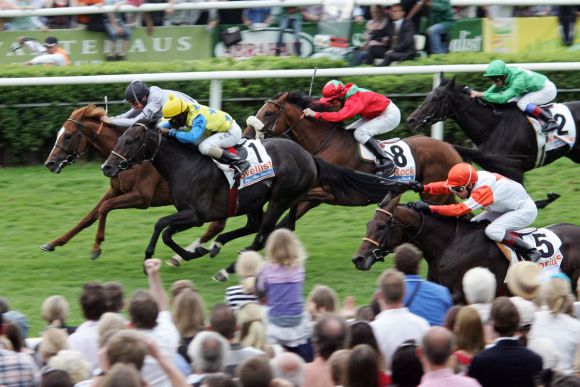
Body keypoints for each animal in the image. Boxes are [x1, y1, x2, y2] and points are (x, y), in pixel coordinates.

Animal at [43, 104, 212, 260]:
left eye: (68, 135)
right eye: (59, 134)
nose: (49, 163)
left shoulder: (142, 197)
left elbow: (105, 207)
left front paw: (96, 247)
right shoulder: (115, 190)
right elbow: (90, 216)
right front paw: (53, 243)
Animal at [104, 120, 394, 264]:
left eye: (130, 141)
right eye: (119, 139)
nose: (107, 167)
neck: (184, 164)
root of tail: (309, 156)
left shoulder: (196, 214)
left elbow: (161, 225)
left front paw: (152, 254)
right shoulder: (190, 214)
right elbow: (166, 231)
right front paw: (192, 252)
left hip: (280, 197)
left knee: (264, 230)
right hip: (254, 200)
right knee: (257, 225)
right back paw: (219, 245)